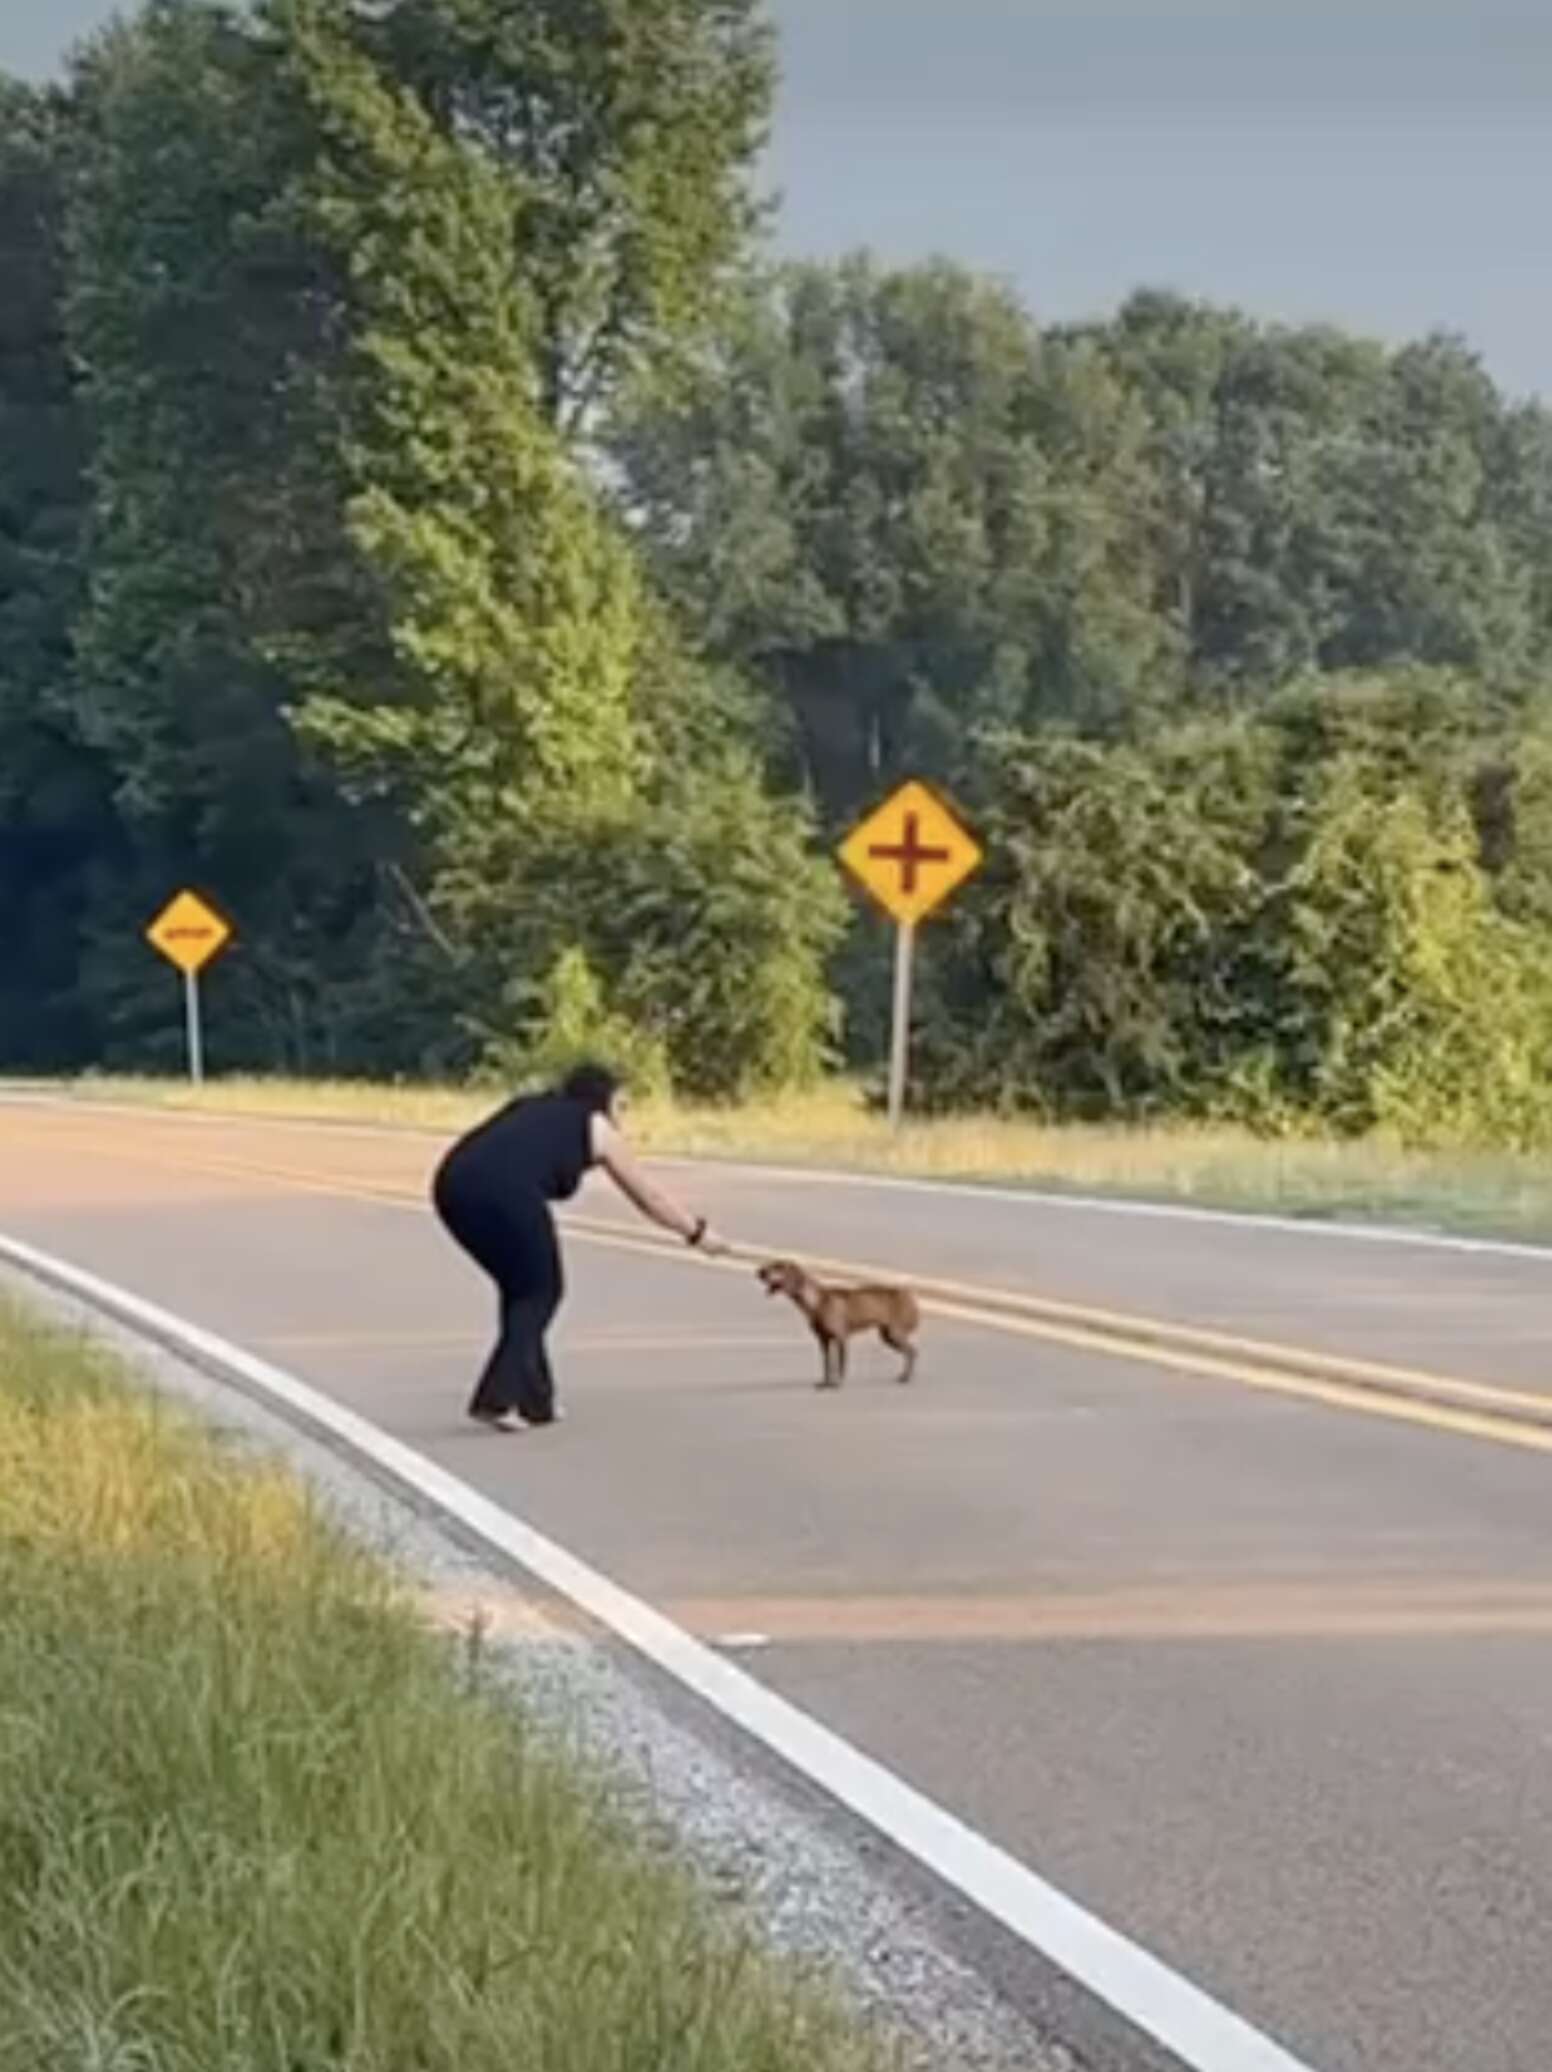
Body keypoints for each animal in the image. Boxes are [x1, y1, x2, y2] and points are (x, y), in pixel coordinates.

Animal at [758, 1259, 915, 1392]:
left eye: (779, 1266)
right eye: (771, 1264)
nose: (760, 1272)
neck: (816, 1301)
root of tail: (908, 1294)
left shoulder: (841, 1338)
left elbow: (840, 1365)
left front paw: (838, 1383)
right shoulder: (824, 1340)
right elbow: (827, 1364)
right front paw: (825, 1383)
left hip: (894, 1333)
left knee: (912, 1351)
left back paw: (905, 1377)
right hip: (887, 1336)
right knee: (910, 1352)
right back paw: (905, 1375)